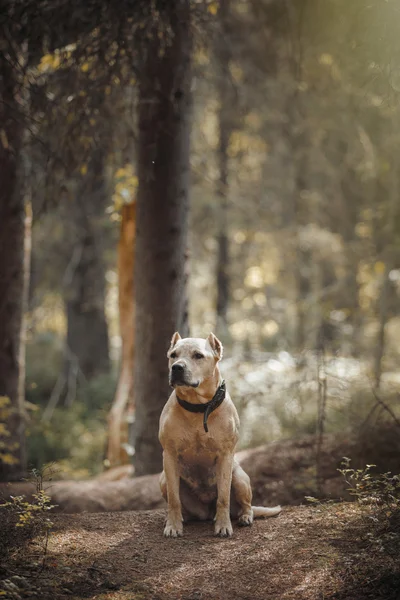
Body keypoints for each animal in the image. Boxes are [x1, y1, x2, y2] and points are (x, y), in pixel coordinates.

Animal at [159, 332, 282, 540]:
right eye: (173, 355)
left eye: (198, 356)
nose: (176, 368)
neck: (199, 408)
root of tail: (206, 512)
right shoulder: (169, 455)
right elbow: (174, 499)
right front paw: (173, 526)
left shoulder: (225, 456)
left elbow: (223, 497)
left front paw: (224, 526)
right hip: (163, 480)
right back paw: (185, 518)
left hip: (239, 477)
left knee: (246, 506)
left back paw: (244, 517)